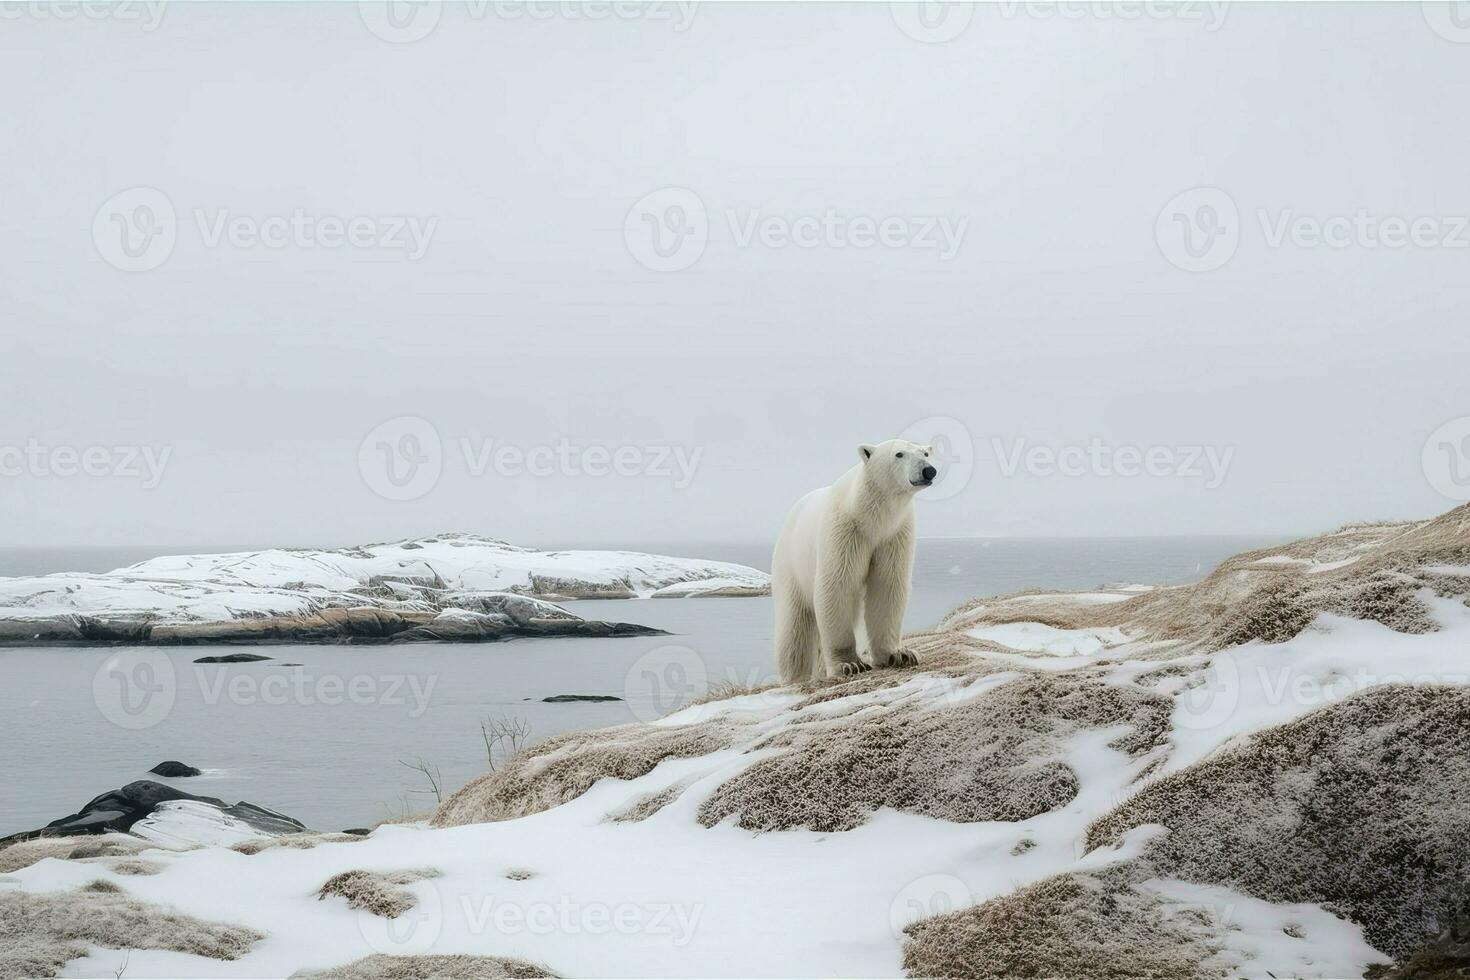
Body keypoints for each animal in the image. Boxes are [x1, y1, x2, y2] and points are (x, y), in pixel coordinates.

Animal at [776, 440, 934, 687]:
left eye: (925, 453)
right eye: (899, 454)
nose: (928, 470)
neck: (870, 516)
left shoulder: (894, 534)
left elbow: (887, 585)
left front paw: (900, 655)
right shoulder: (845, 531)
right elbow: (836, 585)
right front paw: (850, 665)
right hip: (791, 566)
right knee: (794, 627)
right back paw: (796, 676)